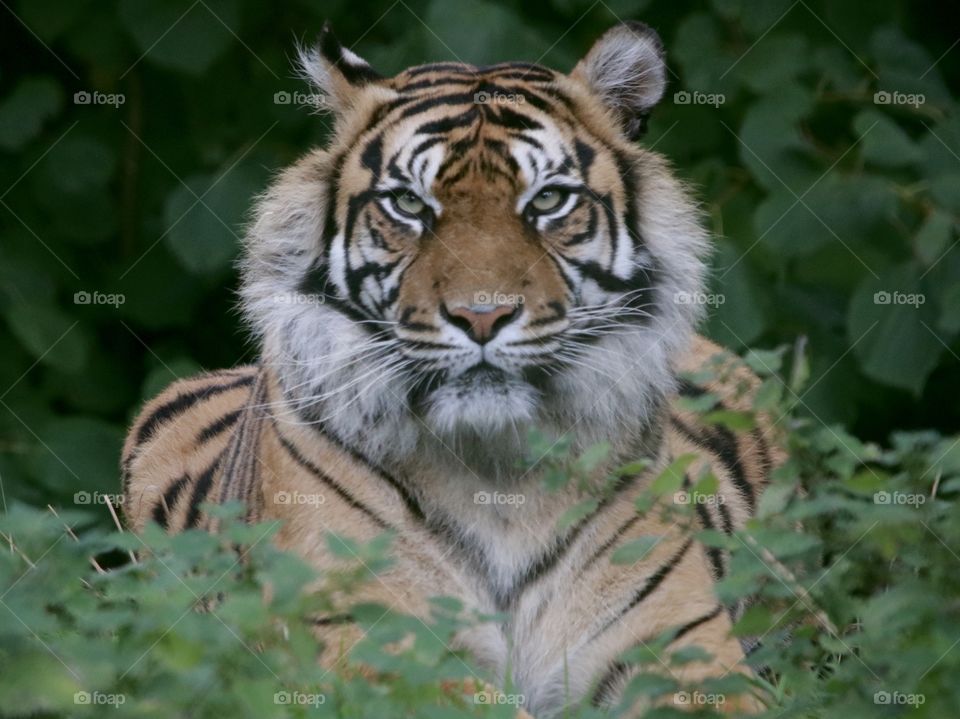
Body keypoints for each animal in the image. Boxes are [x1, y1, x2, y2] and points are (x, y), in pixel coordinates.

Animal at [122, 21, 781, 718]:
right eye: (411, 205)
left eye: (548, 199)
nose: (481, 316)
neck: (499, 476)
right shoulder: (372, 641)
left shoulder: (682, 645)